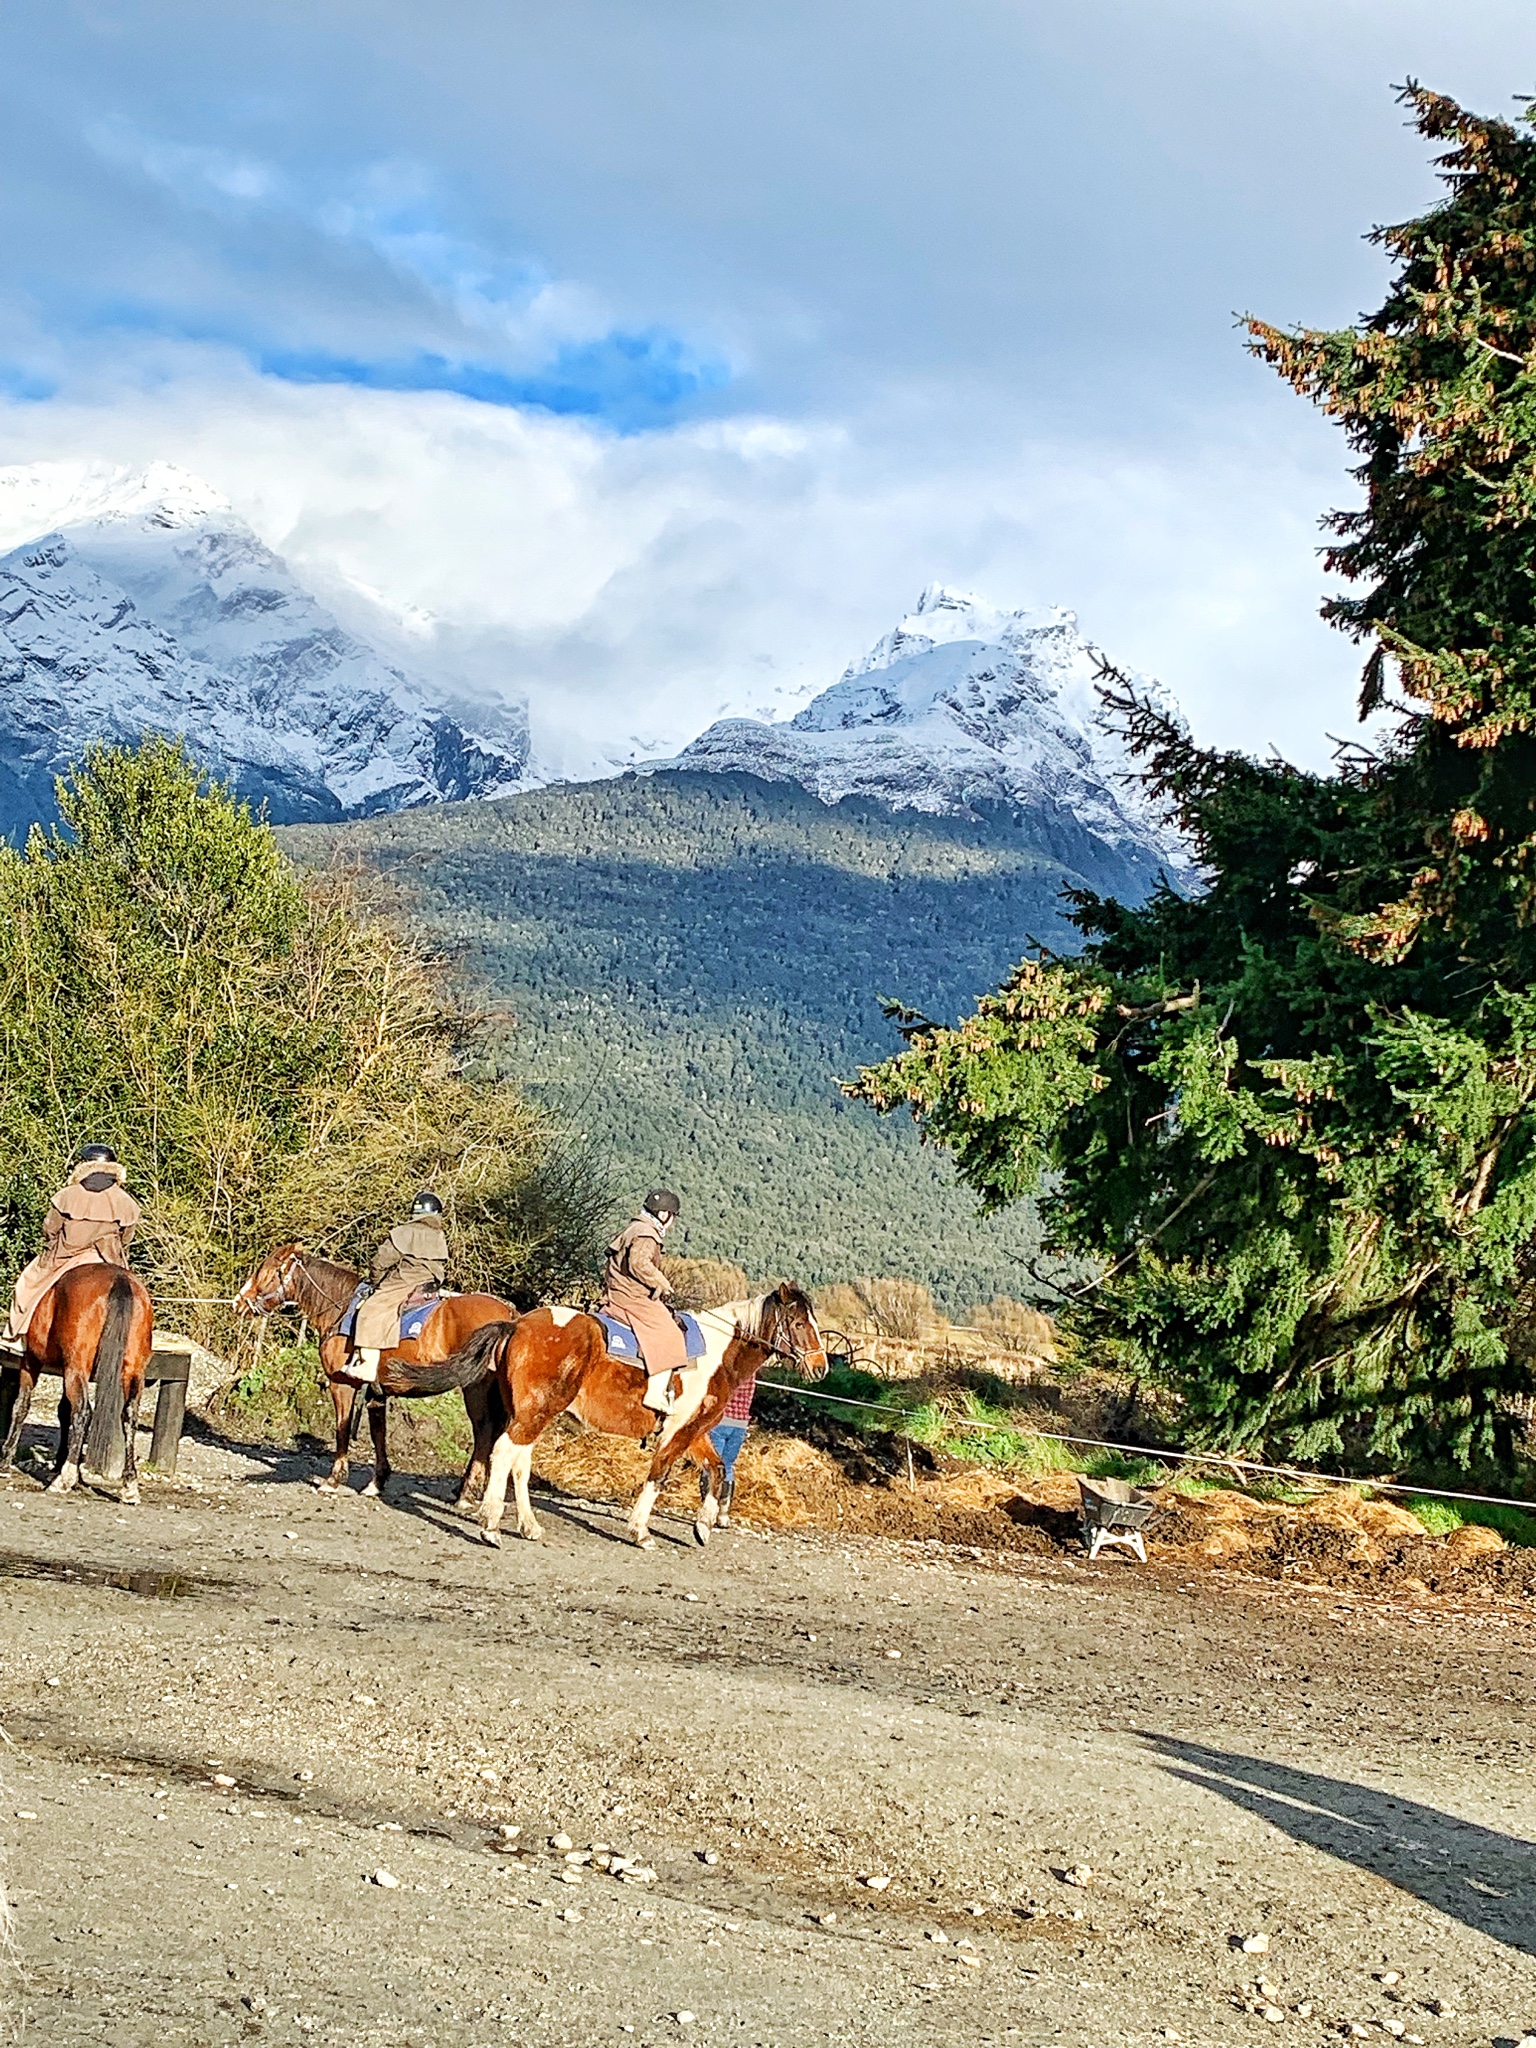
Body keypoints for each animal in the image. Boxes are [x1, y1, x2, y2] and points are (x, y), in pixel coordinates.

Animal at [0, 1261, 156, 1507]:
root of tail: (120, 1279)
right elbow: (63, 1411)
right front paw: (61, 1461)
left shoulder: (31, 1362)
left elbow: (21, 1406)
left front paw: (6, 1458)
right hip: (132, 1371)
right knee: (129, 1416)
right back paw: (129, 1486)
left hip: (75, 1367)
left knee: (83, 1412)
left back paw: (64, 1479)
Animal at [236, 1236, 518, 1499]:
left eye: (266, 1272)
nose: (239, 1302)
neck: (341, 1308)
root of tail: (512, 1317)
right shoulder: (376, 1394)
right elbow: (377, 1433)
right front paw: (377, 1482)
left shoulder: (342, 1385)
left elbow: (342, 1428)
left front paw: (334, 1479)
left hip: (476, 1390)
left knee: (483, 1431)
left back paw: (467, 1493)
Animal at [436, 1277, 831, 1548]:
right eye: (799, 1324)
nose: (821, 1367)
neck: (717, 1353)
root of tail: (518, 1323)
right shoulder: (679, 1429)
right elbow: (660, 1473)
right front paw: (640, 1530)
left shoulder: (695, 1429)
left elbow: (717, 1469)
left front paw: (703, 1526)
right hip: (535, 1412)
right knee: (505, 1453)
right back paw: (491, 1524)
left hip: (532, 1413)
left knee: (518, 1461)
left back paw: (528, 1525)